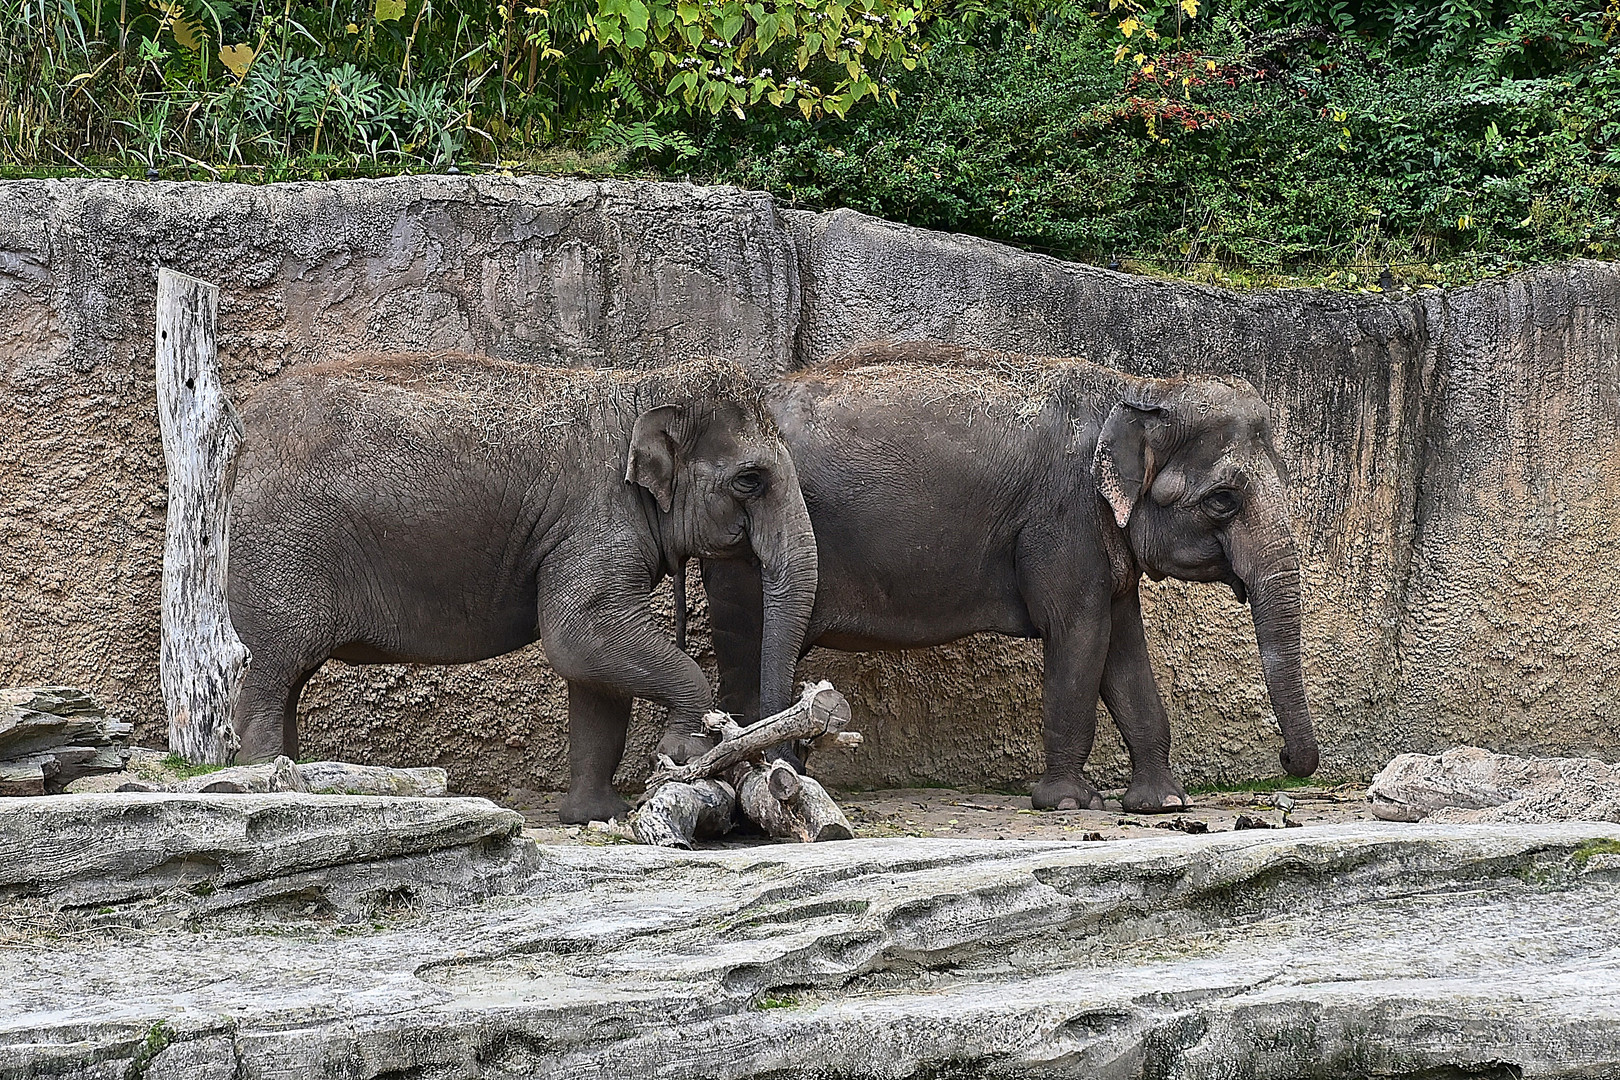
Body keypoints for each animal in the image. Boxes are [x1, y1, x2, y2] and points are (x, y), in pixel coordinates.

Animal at [221, 351, 816, 822]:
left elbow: (593, 671)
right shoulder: (594, 521)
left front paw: (596, 815)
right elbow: (580, 637)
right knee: (275, 665)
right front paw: (683, 752)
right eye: (749, 480)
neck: (644, 384)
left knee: (287, 675)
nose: (781, 767)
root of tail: (242, 424)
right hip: (280, 548)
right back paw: (268, 783)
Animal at [703, 341, 1321, 816]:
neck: (1141, 388)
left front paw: (1162, 804)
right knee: (749, 647)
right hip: (745, 547)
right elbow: (1080, 633)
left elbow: (1122, 648)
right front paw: (1069, 803)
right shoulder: (1063, 517)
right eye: (1223, 500)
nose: (1288, 764)